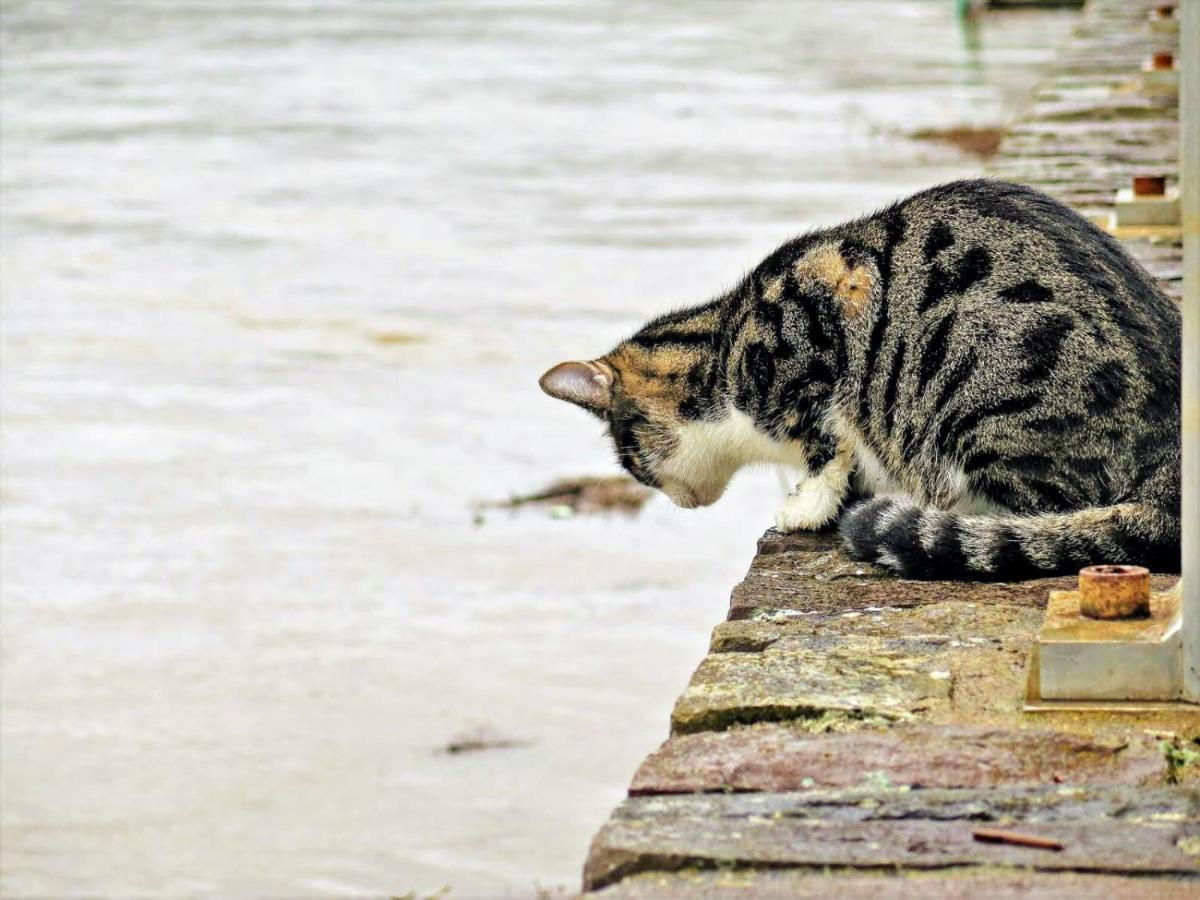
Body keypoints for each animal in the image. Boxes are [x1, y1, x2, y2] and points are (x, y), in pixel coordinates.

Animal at [542, 180, 1180, 580]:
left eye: (633, 464)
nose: (677, 501)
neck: (721, 351)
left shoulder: (815, 336)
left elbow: (827, 442)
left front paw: (807, 505)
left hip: (981, 398)